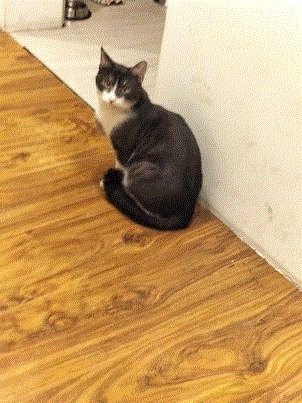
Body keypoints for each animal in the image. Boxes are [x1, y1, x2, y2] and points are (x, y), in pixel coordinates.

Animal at [95, 47, 202, 230]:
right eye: (108, 83)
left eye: (125, 89)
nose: (111, 100)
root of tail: (185, 213)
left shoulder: (124, 147)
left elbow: (119, 164)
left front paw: (112, 178)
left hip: (143, 168)